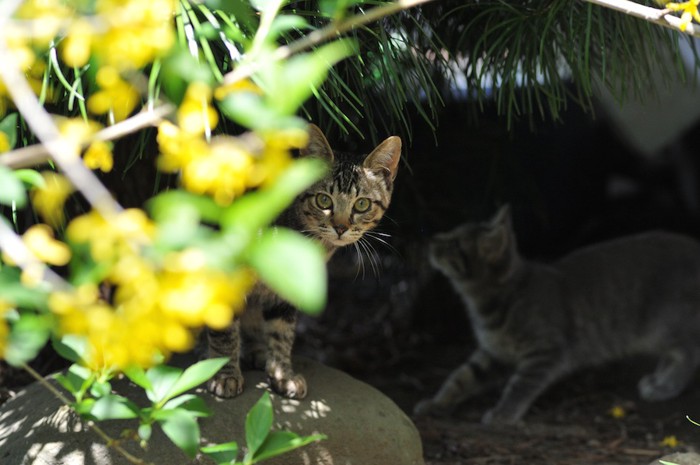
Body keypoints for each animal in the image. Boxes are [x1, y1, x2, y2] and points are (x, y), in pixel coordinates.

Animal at [206, 124, 400, 398]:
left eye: (361, 204)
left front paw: (282, 374)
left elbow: (282, 333)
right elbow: (224, 331)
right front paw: (225, 374)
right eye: (324, 200)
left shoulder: (287, 291)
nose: (341, 227)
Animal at [416, 205, 700, 422]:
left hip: (664, 325)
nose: (430, 240)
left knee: (688, 353)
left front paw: (503, 414)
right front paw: (436, 403)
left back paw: (665, 386)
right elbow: (460, 377)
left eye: (454, 244)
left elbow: (519, 385)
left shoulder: (545, 353)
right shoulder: (493, 353)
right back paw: (658, 378)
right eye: (450, 233)